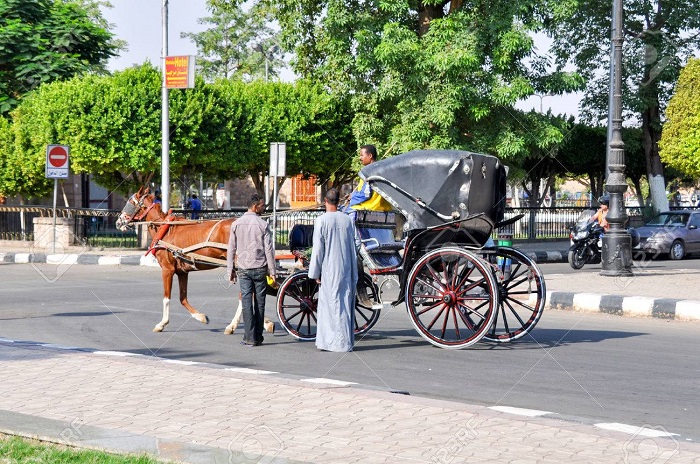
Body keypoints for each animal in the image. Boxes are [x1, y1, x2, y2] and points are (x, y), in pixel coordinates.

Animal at [116, 186, 272, 334]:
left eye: (130, 202)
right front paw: (201, 316)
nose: (118, 222)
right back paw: (264, 323)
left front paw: (162, 323)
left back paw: (232, 325)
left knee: (246, 294)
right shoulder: (182, 272)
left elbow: (166, 297)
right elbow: (182, 298)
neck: (165, 229)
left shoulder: (167, 269)